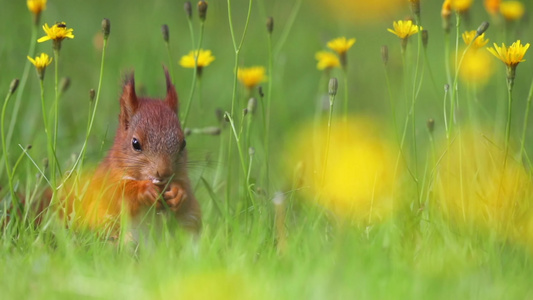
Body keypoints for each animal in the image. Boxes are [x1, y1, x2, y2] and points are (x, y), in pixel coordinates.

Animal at [55, 67, 202, 237]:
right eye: (135, 143)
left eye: (183, 143)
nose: (164, 171)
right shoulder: (108, 180)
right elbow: (119, 195)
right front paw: (144, 190)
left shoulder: (183, 178)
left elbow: (187, 194)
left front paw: (178, 193)